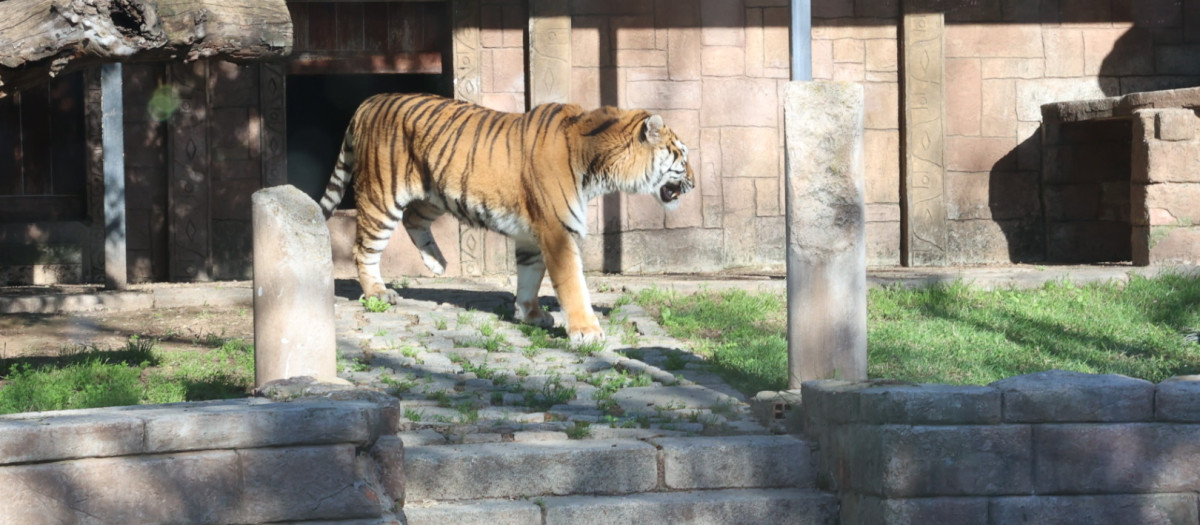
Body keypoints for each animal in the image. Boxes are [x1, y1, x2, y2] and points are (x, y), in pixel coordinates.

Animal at [318, 93, 694, 343]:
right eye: (682, 155)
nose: (693, 181)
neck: (598, 167)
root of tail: (369, 101)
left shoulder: (534, 235)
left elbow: (529, 276)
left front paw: (531, 315)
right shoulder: (557, 231)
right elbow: (572, 283)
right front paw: (587, 331)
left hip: (435, 190)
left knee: (414, 218)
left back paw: (437, 262)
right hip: (381, 197)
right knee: (364, 249)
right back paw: (379, 293)